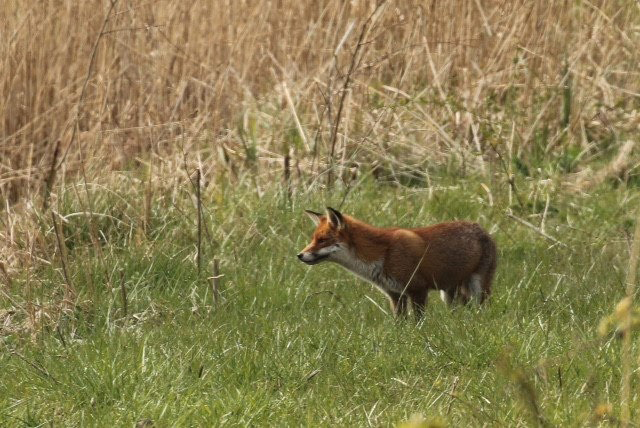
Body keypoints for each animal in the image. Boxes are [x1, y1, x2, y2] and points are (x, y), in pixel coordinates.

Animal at [298, 207, 498, 318]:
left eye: (322, 240)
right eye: (313, 239)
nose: (299, 255)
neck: (381, 254)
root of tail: (481, 228)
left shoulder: (418, 289)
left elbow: (418, 321)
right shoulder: (395, 294)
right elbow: (399, 323)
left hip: (479, 288)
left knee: (484, 309)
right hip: (449, 294)